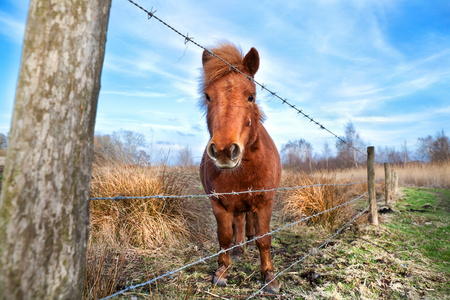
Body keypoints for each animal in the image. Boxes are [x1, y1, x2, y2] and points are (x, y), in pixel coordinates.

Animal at [200, 42, 282, 292]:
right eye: (208, 96)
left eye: (251, 97)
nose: (225, 150)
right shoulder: (218, 203)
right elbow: (224, 237)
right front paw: (221, 272)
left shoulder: (265, 201)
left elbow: (264, 238)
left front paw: (269, 277)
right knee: (238, 223)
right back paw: (239, 249)